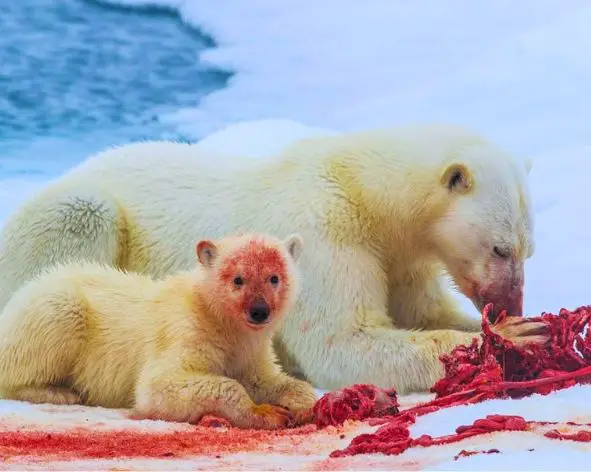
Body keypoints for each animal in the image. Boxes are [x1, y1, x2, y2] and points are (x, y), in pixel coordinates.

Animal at [0, 121, 544, 390]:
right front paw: (512, 338)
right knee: (82, 219)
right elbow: (341, 342)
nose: (511, 304)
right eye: (500, 247)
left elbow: (421, 309)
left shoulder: (399, 255)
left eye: (528, 249)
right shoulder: (324, 232)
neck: (362, 188)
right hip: (67, 220)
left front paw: (520, 324)